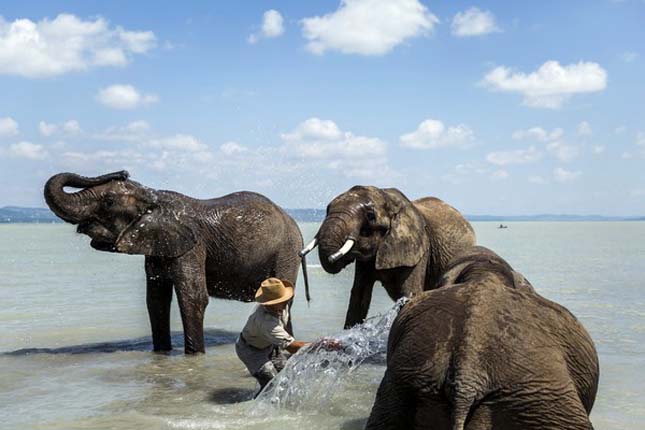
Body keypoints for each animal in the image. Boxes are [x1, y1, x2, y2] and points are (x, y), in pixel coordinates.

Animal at [43, 170, 304, 354]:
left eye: (108, 202)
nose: (123, 172)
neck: (155, 198)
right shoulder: (157, 246)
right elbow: (156, 301)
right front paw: (161, 353)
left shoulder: (192, 247)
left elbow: (192, 298)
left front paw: (194, 355)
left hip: (287, 250)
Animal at [300, 186, 476, 330]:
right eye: (327, 210)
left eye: (370, 216)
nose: (332, 258)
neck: (387, 197)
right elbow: (359, 296)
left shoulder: (418, 247)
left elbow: (409, 293)